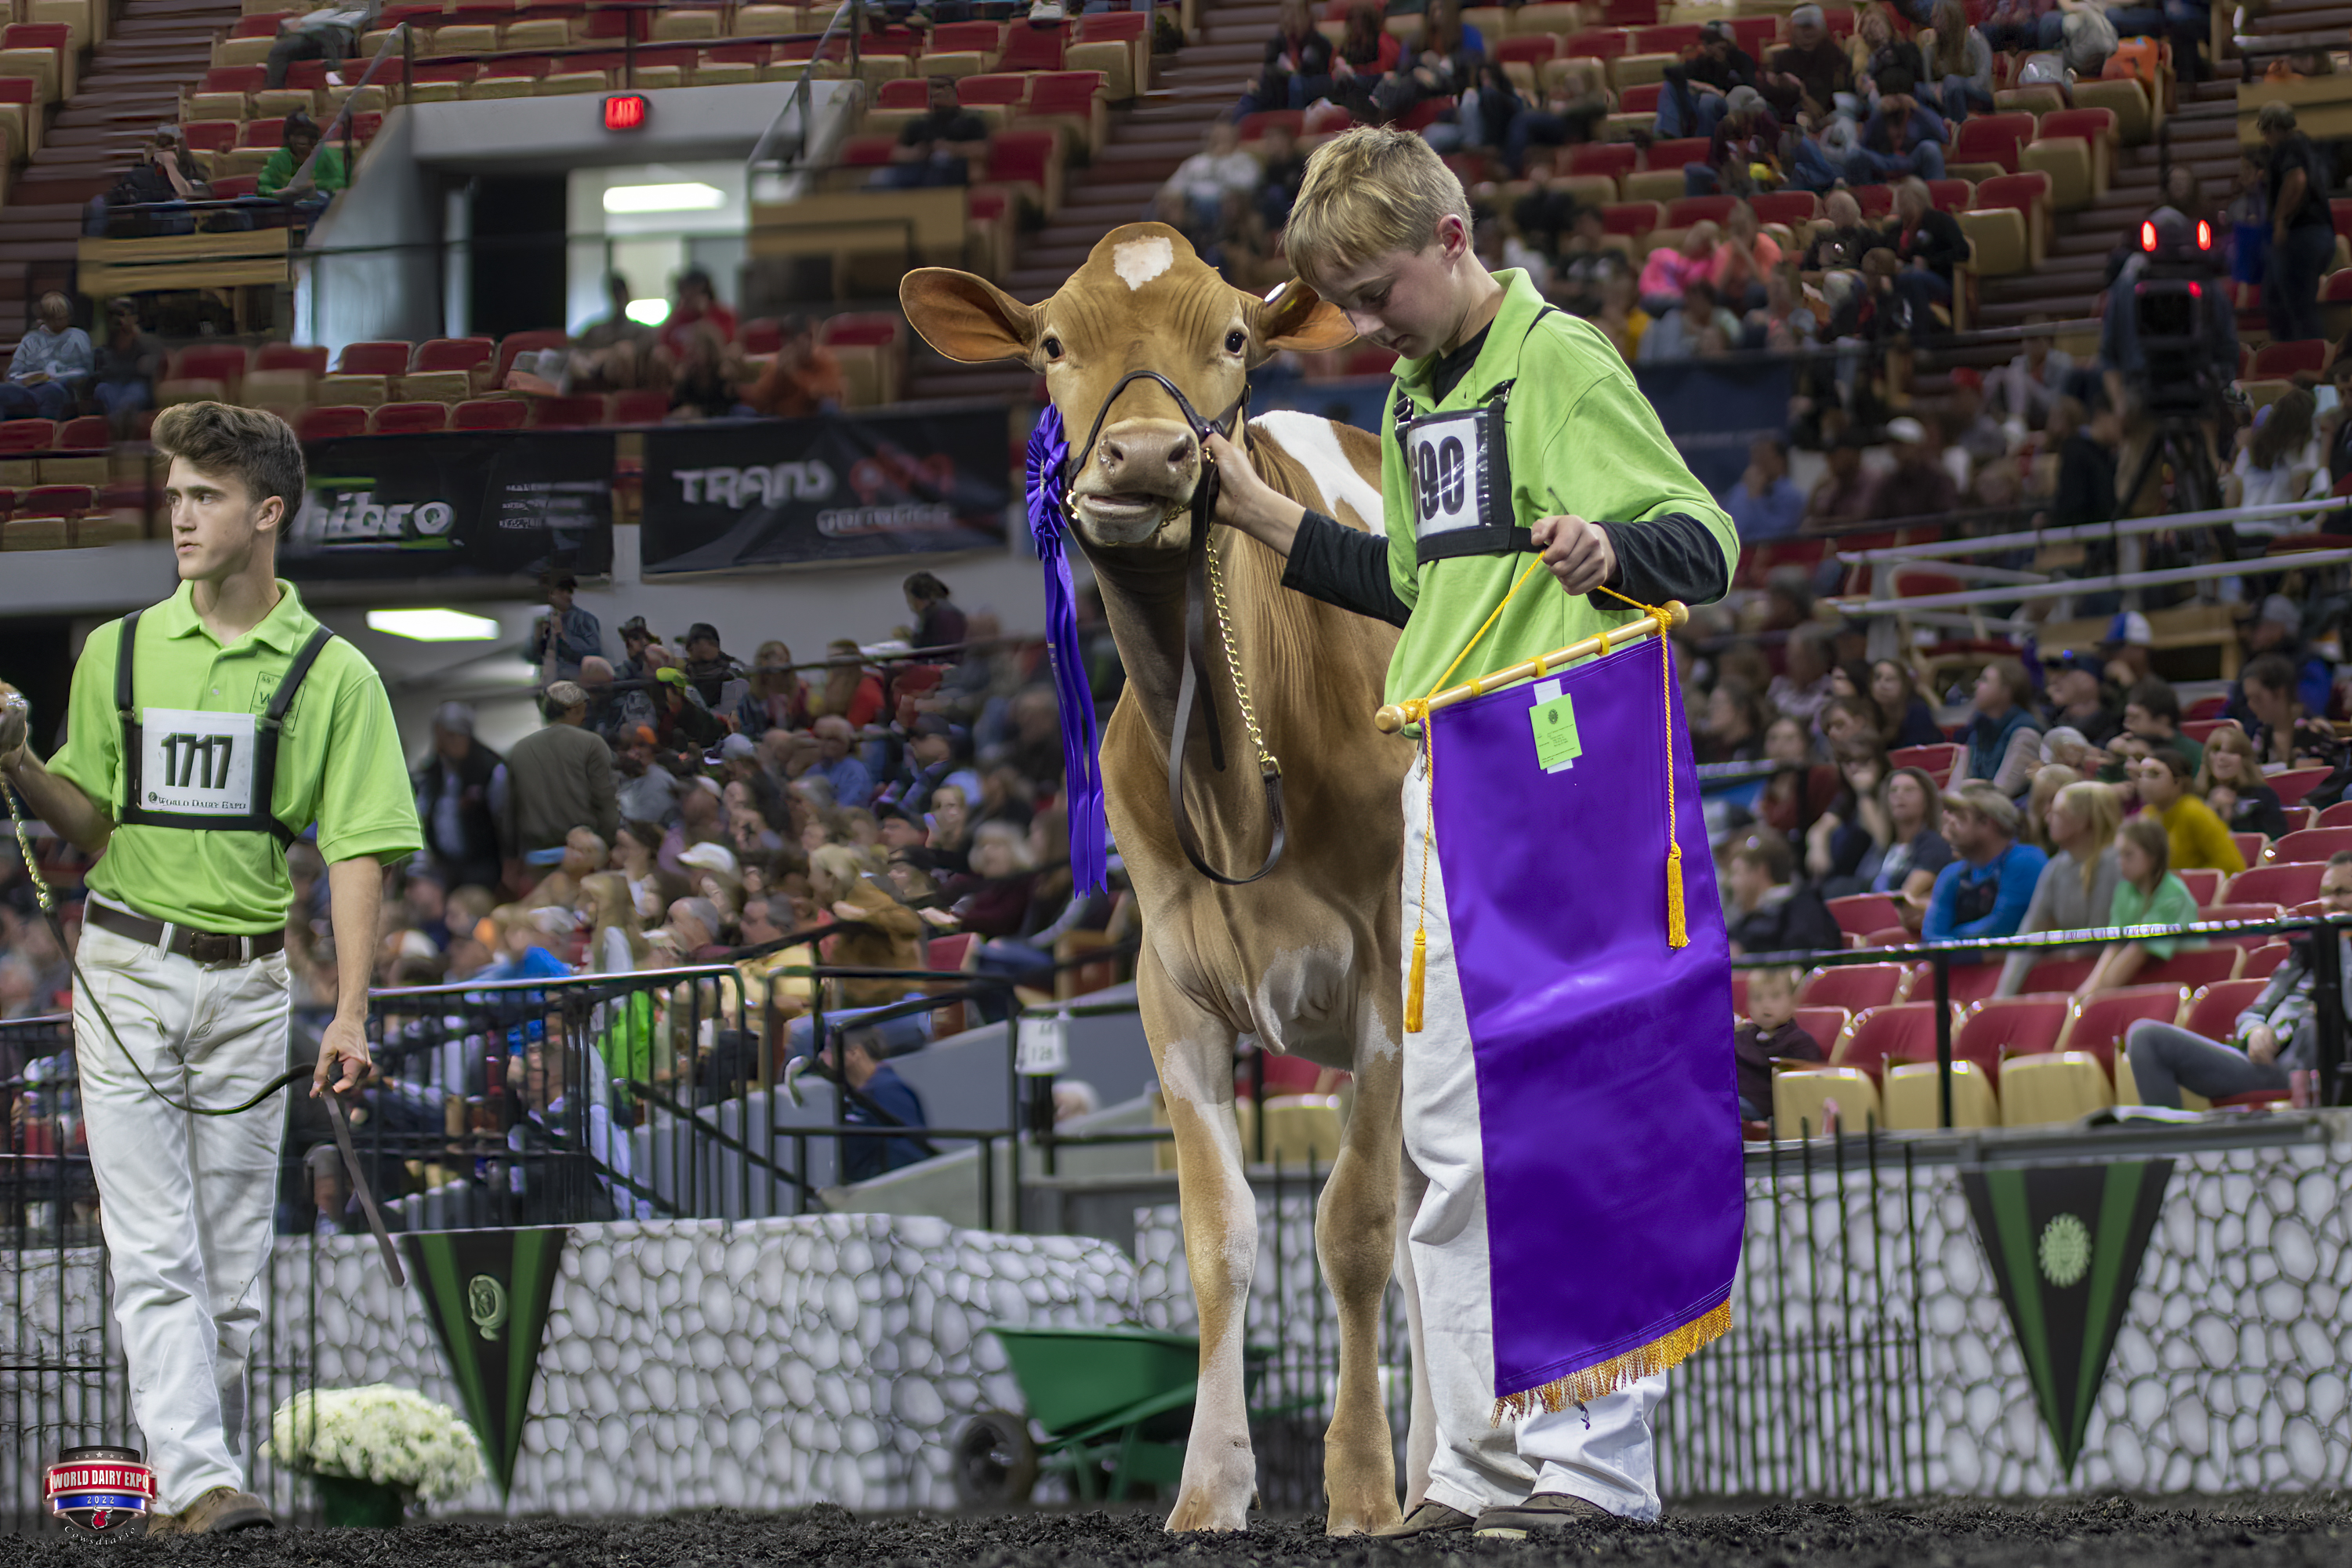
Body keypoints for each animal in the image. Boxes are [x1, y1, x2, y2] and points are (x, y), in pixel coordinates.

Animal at [903, 224, 1421, 1534]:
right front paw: (1209, 1486)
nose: (1143, 455)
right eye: (1049, 342)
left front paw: (1359, 1486)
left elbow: (1353, 1228)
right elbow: (1217, 1235)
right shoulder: (1172, 989)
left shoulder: (1384, 969)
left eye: (1233, 335)